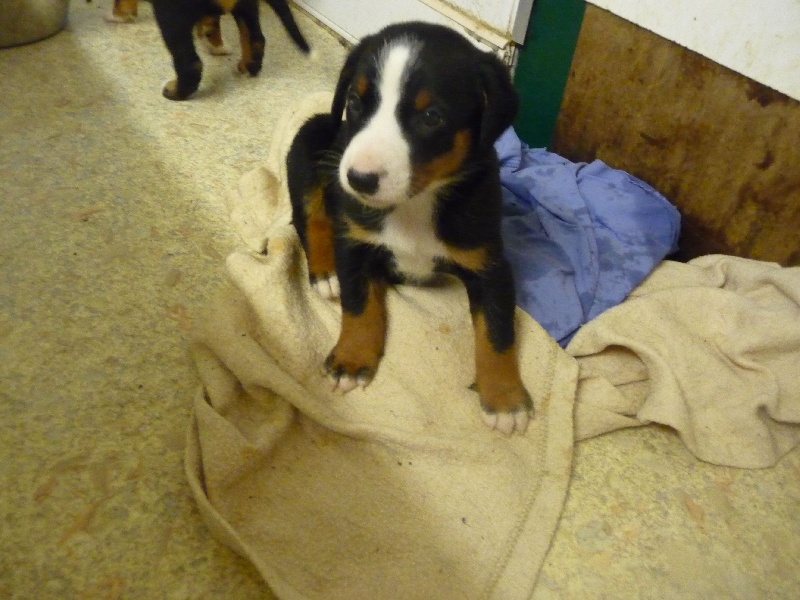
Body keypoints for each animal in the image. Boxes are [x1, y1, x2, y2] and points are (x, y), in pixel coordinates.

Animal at [107, 0, 310, 100]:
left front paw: (120, 15)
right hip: (247, 7)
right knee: (256, 39)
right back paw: (247, 66)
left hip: (171, 15)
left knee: (191, 65)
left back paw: (175, 91)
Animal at [287, 22, 532, 435]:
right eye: (355, 101)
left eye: (431, 116)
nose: (359, 179)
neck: (415, 203)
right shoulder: (355, 243)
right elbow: (358, 304)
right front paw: (351, 359)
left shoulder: (489, 263)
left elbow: (497, 332)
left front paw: (504, 399)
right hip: (310, 141)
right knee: (313, 220)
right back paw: (325, 274)